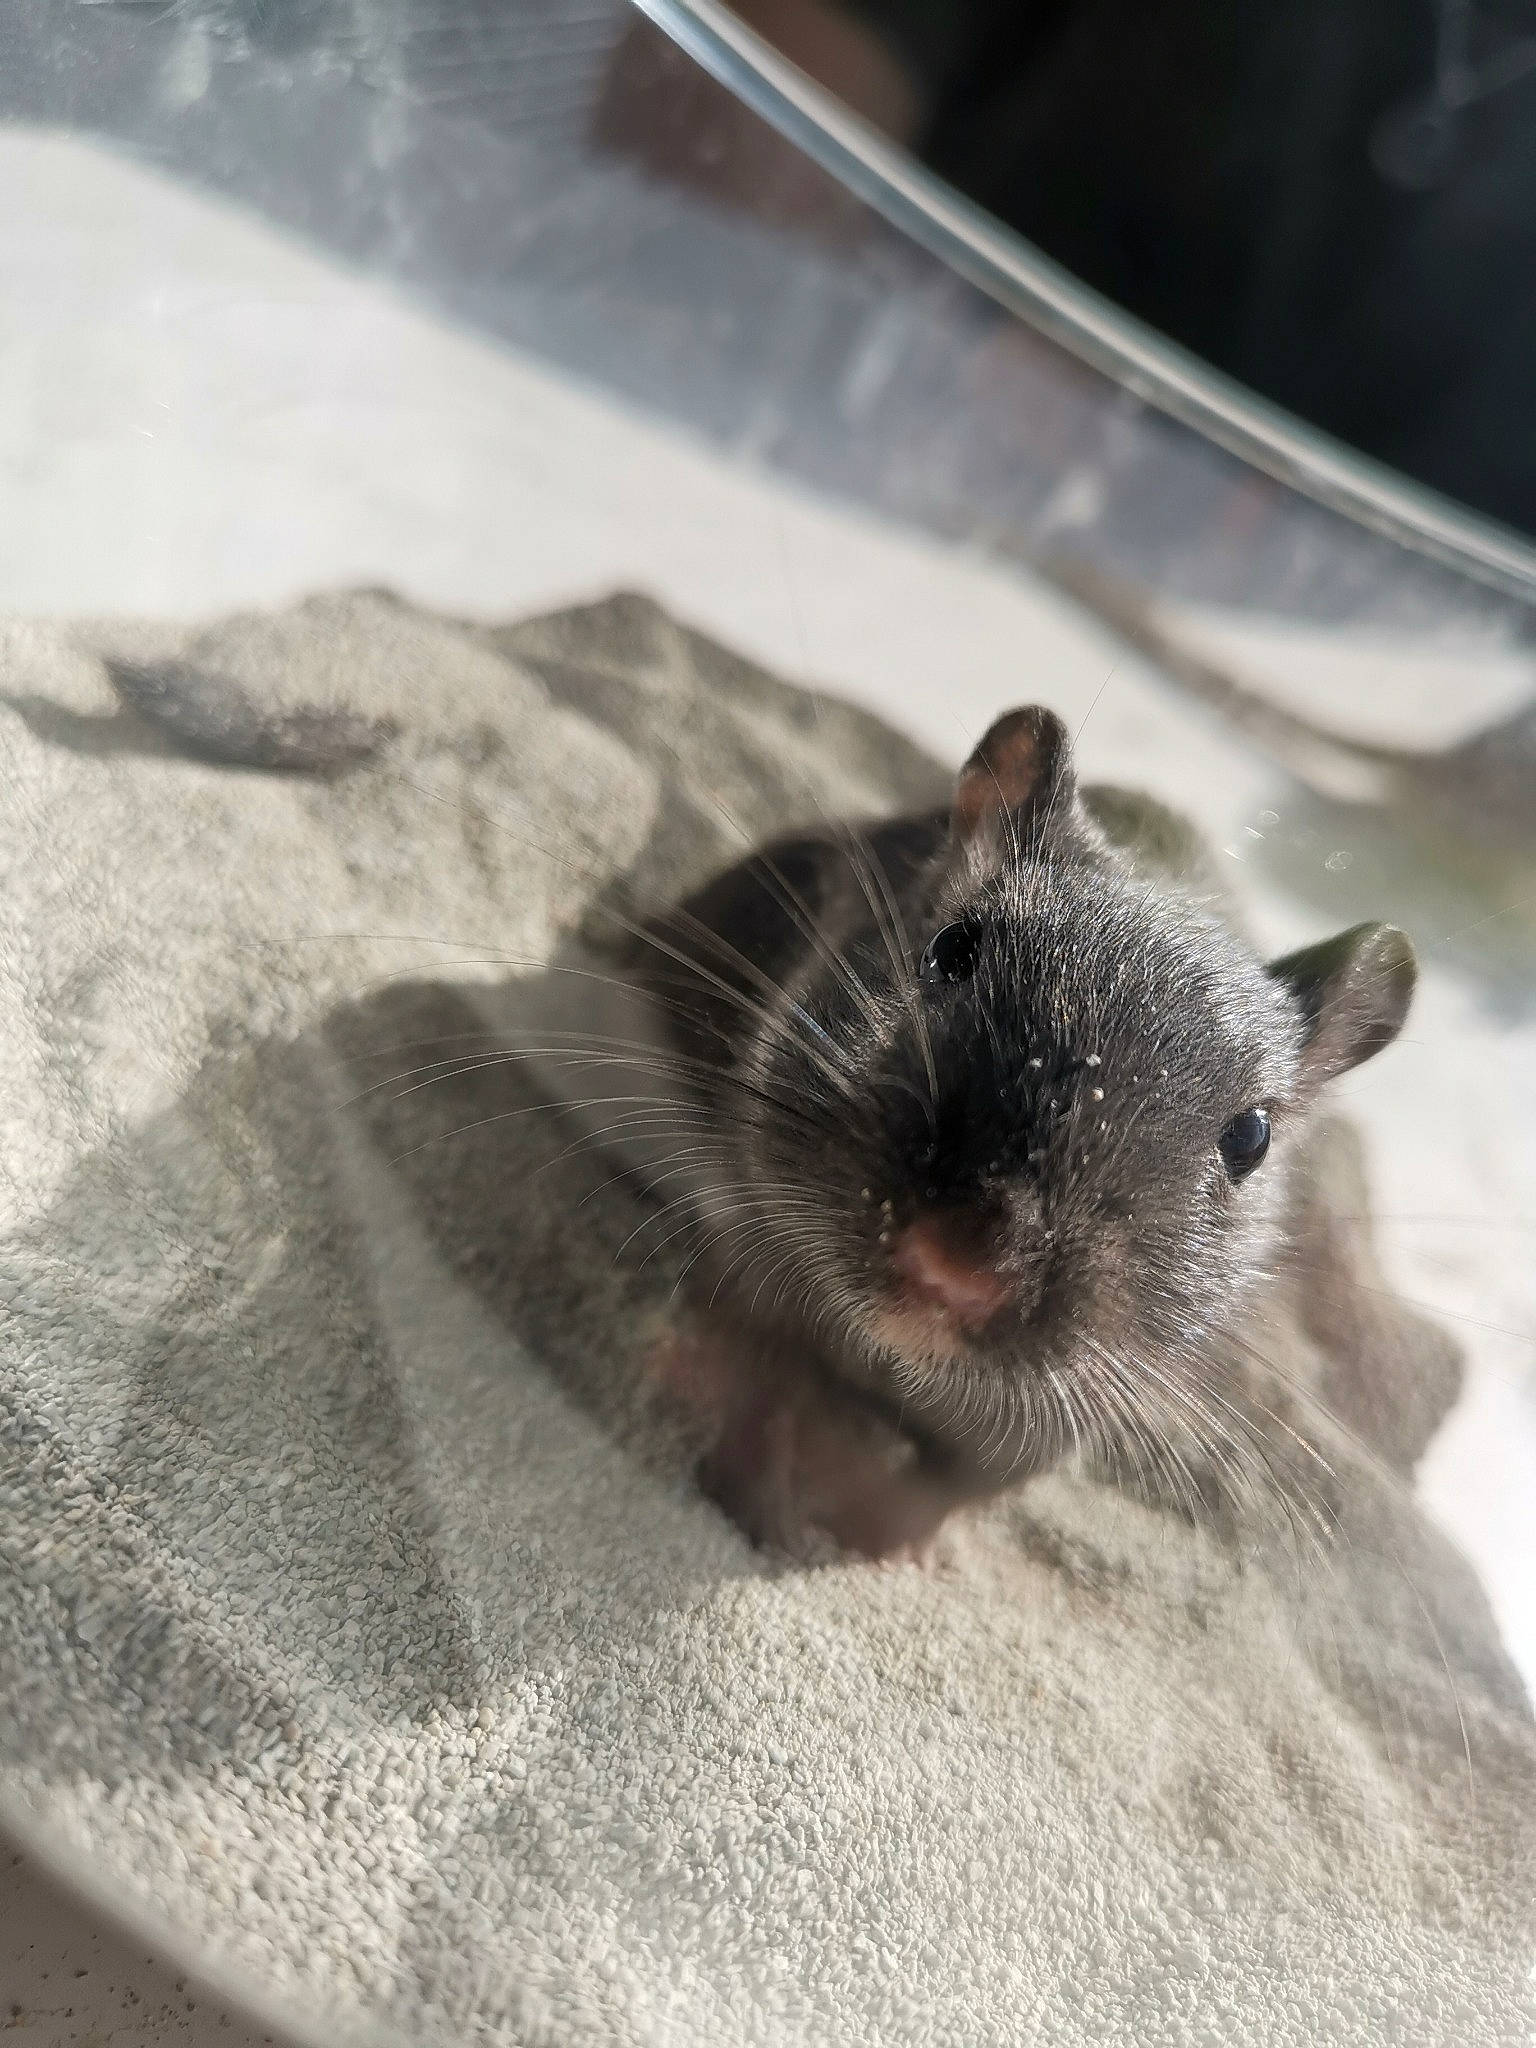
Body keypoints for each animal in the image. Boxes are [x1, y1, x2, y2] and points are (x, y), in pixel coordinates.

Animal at [545, 706, 1418, 1561]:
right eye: (950, 948)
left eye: (1251, 1138)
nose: (957, 1266)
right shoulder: (752, 1263)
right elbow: (758, 1402)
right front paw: (769, 1523)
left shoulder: (1043, 1433)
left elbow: (935, 1497)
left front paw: (872, 1543)